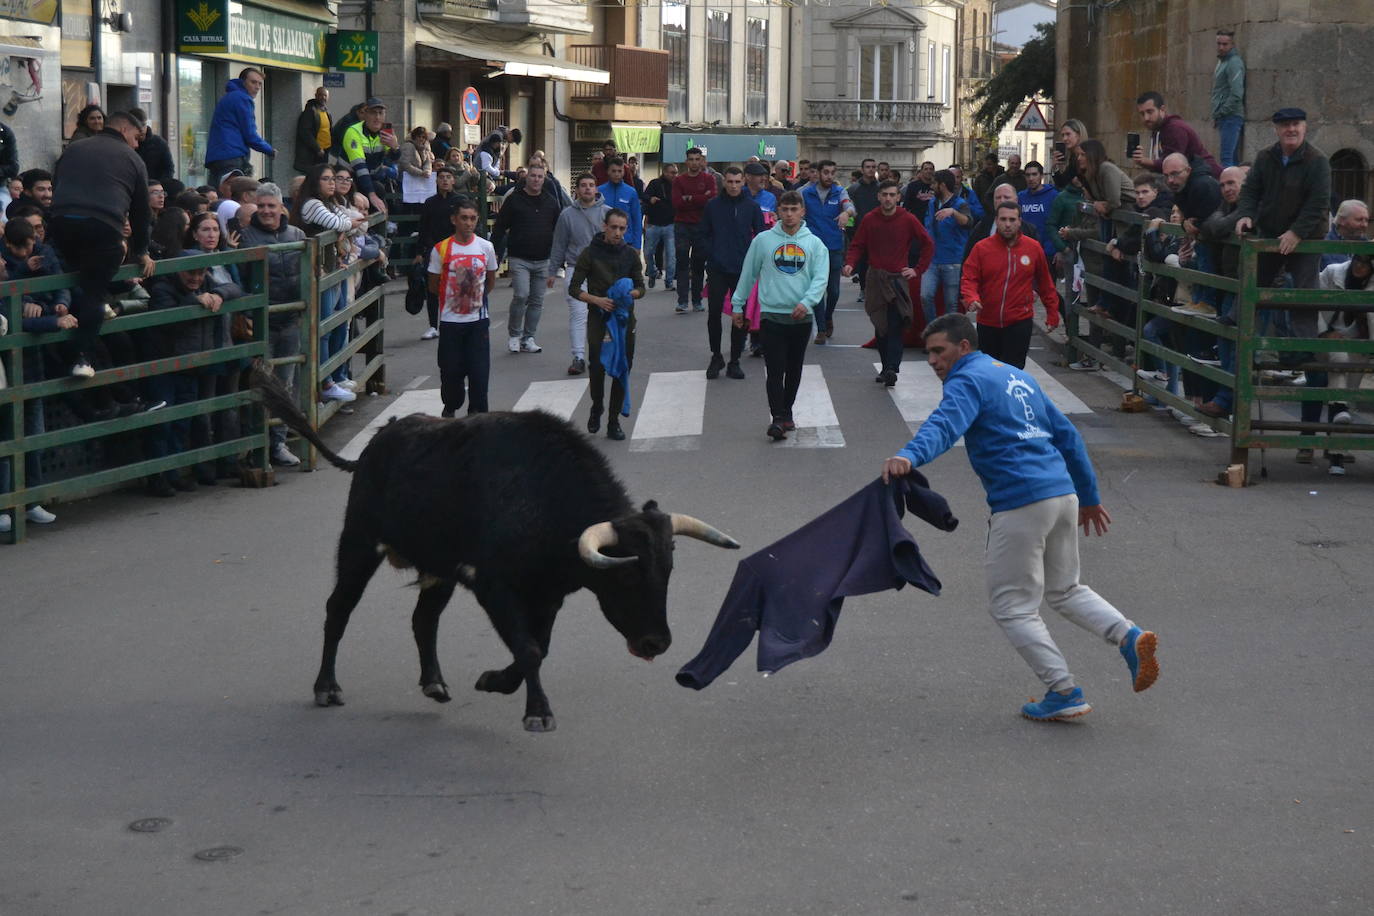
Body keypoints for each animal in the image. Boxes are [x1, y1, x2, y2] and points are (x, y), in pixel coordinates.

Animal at [248, 362, 741, 730]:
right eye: (625, 575)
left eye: (667, 571)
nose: (657, 642)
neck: (547, 501)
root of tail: (377, 442)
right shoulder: (494, 587)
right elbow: (529, 649)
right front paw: (537, 712)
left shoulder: (547, 596)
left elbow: (535, 648)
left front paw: (494, 681)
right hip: (358, 544)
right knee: (339, 609)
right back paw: (326, 687)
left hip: (437, 569)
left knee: (423, 619)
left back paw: (434, 683)